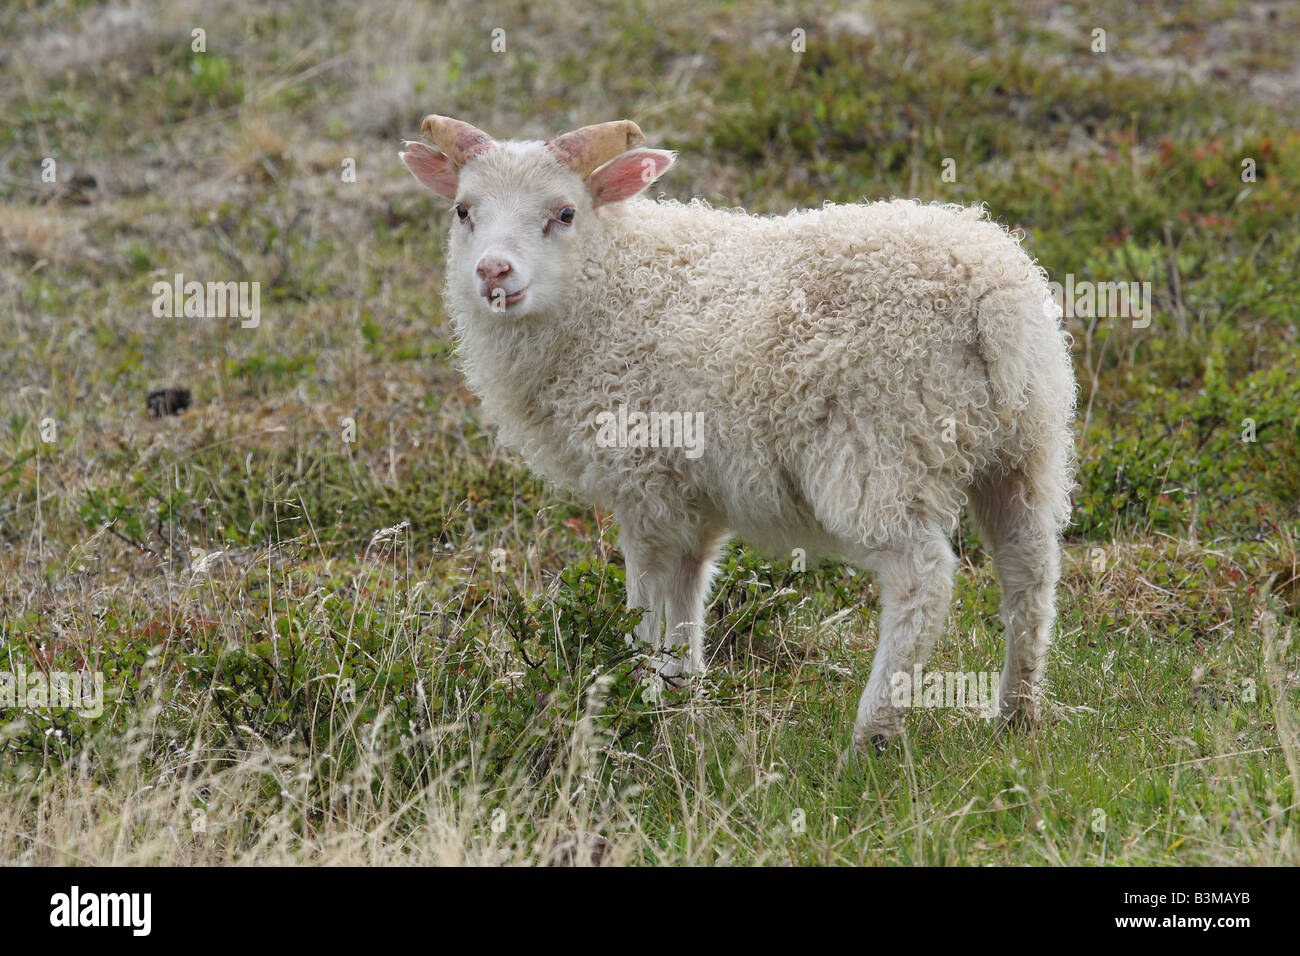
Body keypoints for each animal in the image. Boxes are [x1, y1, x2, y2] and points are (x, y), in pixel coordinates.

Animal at [400, 115, 1076, 754]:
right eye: (463, 210)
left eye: (564, 213)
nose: (494, 271)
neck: (611, 286)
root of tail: (991, 298)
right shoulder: (688, 494)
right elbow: (685, 601)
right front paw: (681, 703)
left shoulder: (643, 481)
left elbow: (644, 602)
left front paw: (630, 704)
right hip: (1024, 447)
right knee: (1030, 567)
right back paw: (1017, 713)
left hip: (881, 449)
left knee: (923, 579)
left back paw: (872, 735)